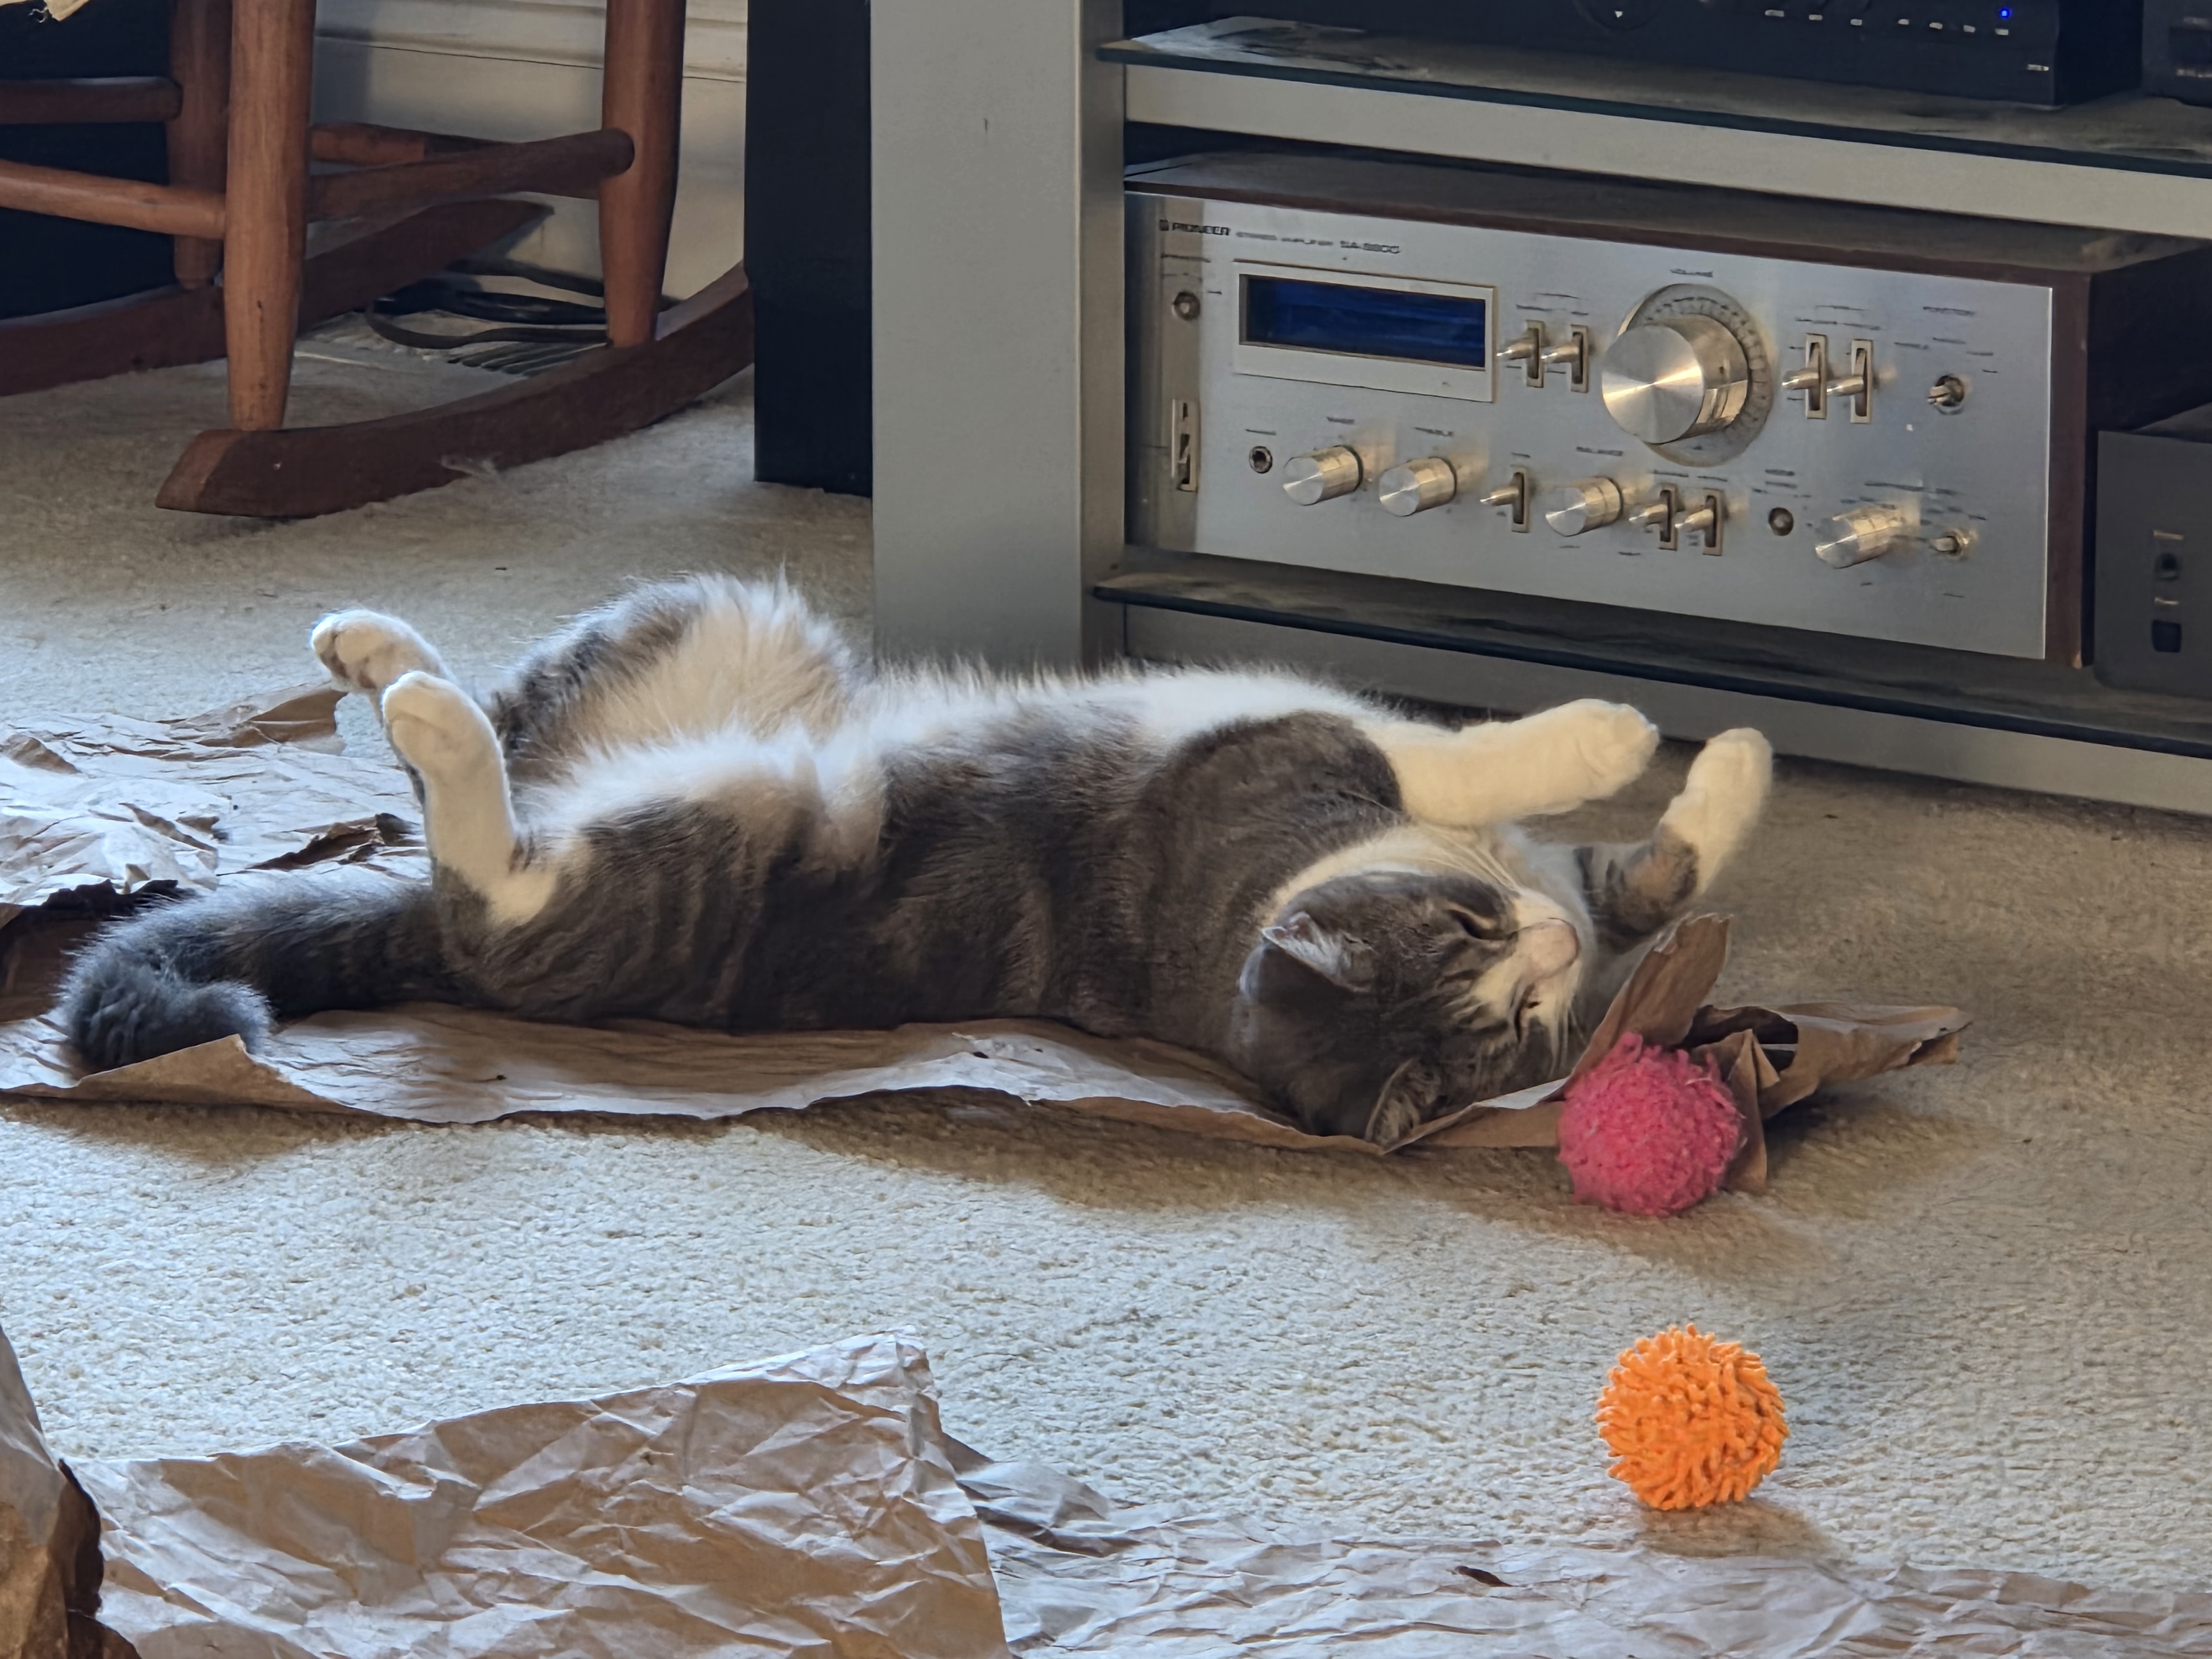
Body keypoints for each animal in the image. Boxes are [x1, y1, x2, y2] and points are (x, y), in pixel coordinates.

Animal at [60, 576, 1772, 1144]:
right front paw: (1632, 733)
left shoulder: (1574, 897)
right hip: (703, 773)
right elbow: (1483, 756)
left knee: (478, 764)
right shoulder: (1307, 750)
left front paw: (1717, 780)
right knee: (490, 843)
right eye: (1463, 934)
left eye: (1528, 1031)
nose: (1543, 960)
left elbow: (1642, 883)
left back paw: (387, 671)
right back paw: (387, 669)